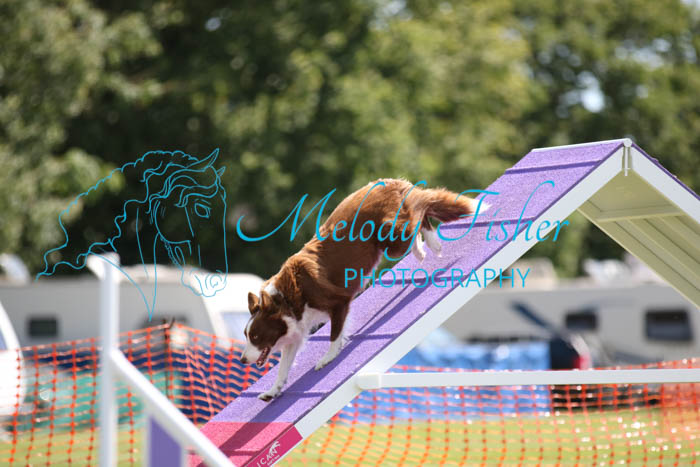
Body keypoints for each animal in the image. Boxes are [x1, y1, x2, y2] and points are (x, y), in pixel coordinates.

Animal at [240, 178, 483, 401]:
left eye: (255, 335)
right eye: (246, 335)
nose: (242, 360)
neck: (286, 299)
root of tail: (391, 182)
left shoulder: (338, 302)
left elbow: (334, 334)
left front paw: (328, 358)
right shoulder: (297, 331)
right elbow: (283, 366)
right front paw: (272, 391)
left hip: (390, 237)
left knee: (418, 211)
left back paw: (429, 244)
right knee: (417, 215)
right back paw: (425, 247)